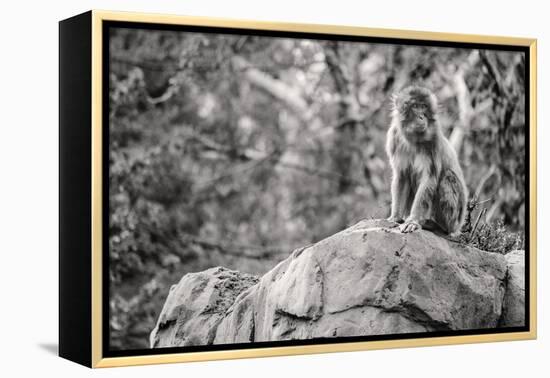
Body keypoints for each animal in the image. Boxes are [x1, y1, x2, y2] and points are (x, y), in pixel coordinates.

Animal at [386, 85, 468, 235]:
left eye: (424, 106)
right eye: (415, 106)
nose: (421, 116)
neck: (413, 139)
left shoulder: (434, 141)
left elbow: (429, 179)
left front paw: (413, 221)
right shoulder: (394, 138)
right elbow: (402, 176)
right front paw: (395, 217)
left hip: (455, 218)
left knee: (447, 176)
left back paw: (435, 225)